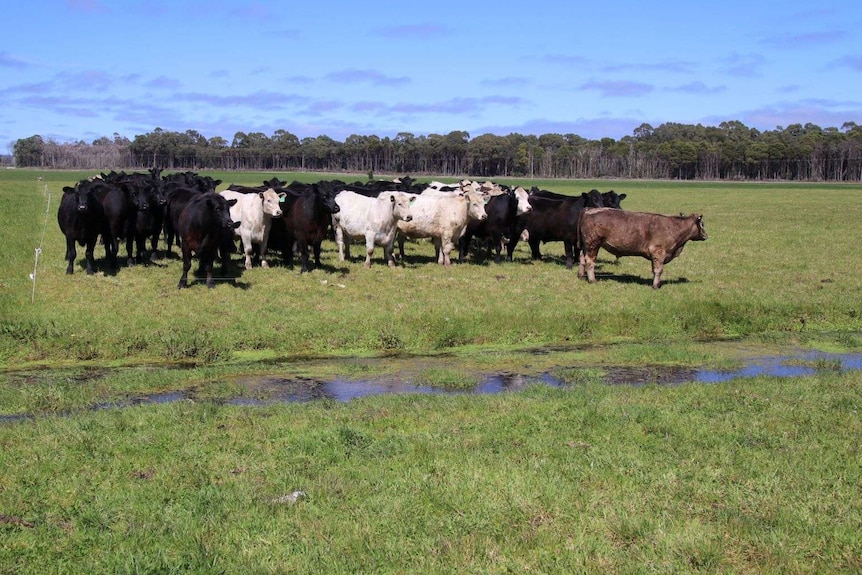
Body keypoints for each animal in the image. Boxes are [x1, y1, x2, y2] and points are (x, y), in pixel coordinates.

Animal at [580, 208, 708, 290]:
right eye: (702, 224)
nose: (706, 235)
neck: (673, 227)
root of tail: (588, 210)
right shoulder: (658, 253)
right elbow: (658, 270)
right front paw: (655, 286)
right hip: (593, 245)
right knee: (590, 262)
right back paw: (592, 280)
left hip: (584, 246)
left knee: (582, 259)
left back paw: (581, 276)